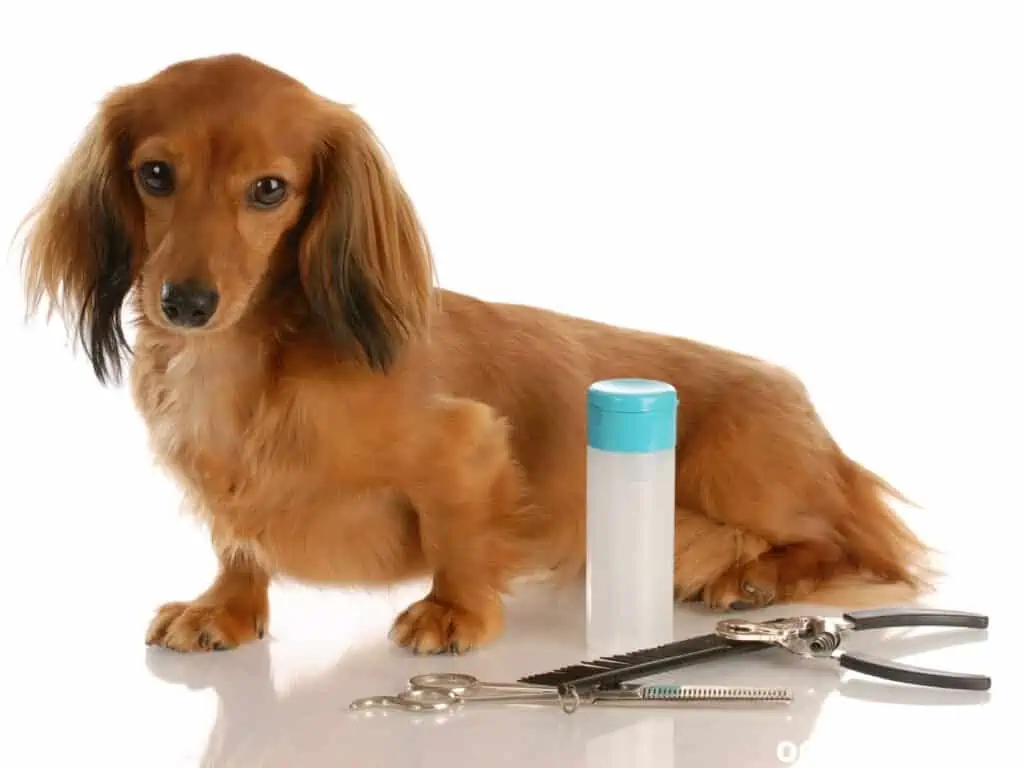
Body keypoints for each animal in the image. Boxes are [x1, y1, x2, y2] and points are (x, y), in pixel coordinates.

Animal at [18, 54, 929, 655]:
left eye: (270, 189)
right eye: (155, 174)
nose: (186, 302)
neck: (250, 363)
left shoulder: (466, 445)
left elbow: (460, 535)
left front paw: (453, 613)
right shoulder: (227, 489)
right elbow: (237, 541)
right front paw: (225, 610)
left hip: (738, 466)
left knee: (851, 546)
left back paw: (758, 577)